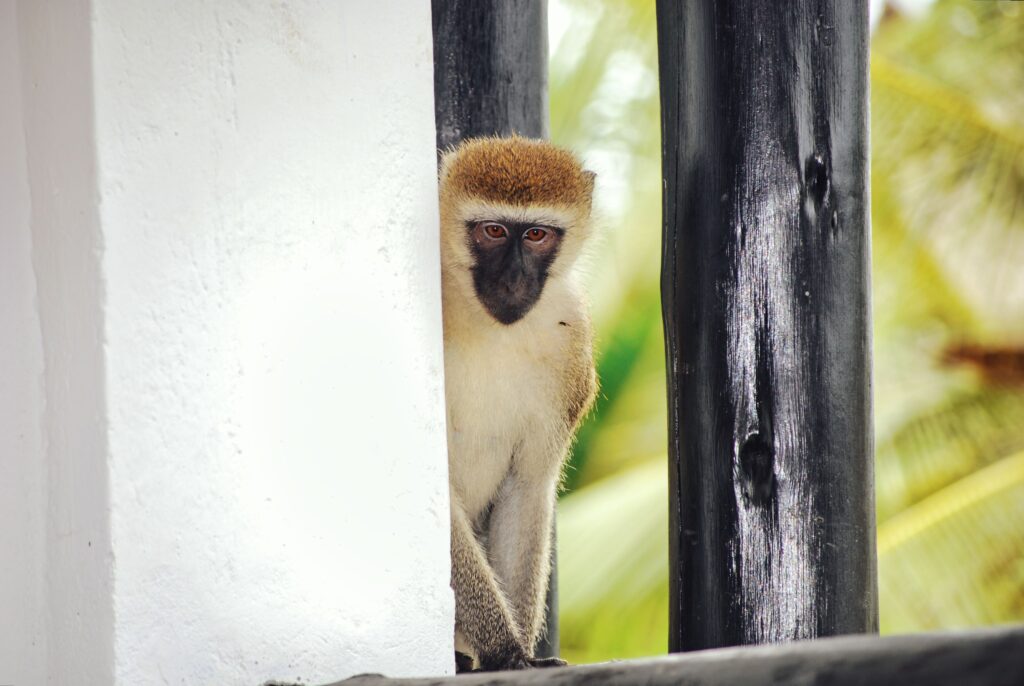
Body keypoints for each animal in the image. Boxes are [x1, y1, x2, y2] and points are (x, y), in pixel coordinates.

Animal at [436, 136, 598, 671]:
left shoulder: (570, 340)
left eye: (536, 235)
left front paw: (519, 651)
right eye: (492, 231)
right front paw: (505, 652)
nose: (512, 279)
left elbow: (527, 487)